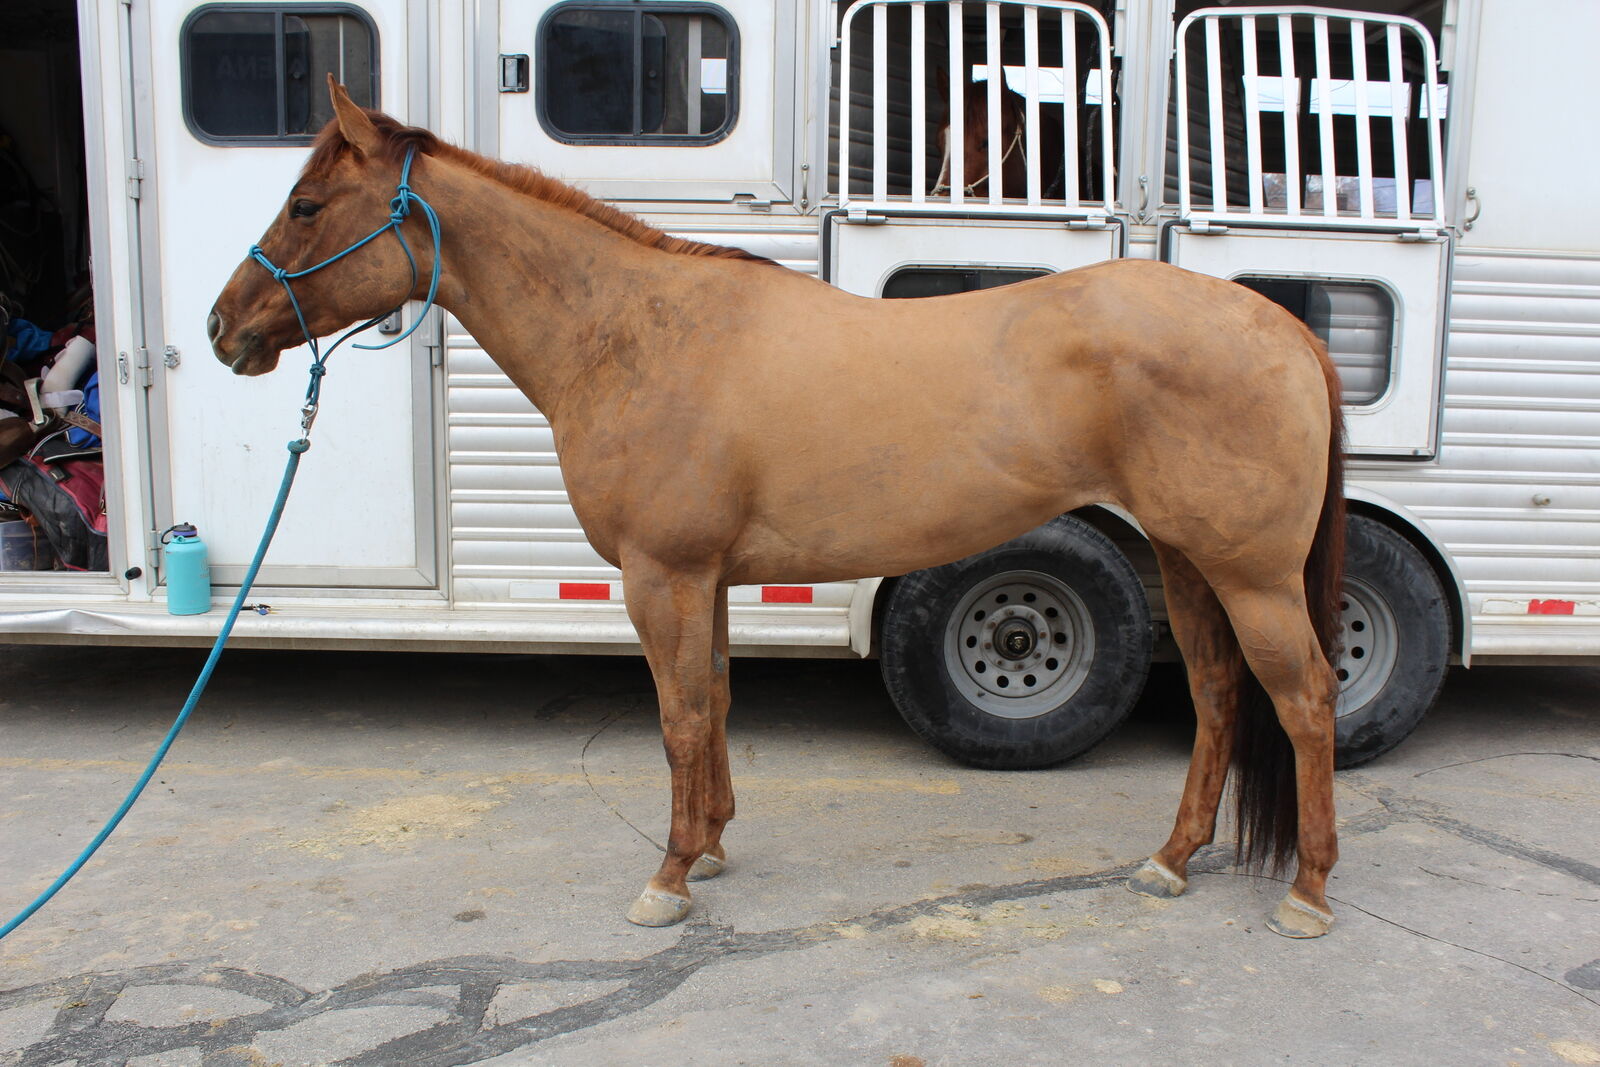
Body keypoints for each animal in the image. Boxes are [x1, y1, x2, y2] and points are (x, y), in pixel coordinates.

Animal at [209, 78, 1346, 938]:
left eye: (306, 205)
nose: (227, 326)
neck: (632, 333)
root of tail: (1283, 329)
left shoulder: (661, 575)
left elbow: (677, 718)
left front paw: (666, 879)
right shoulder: (705, 577)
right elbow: (713, 702)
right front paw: (711, 846)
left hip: (1249, 573)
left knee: (1304, 699)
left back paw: (1307, 891)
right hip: (1190, 560)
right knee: (1217, 695)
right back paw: (1171, 859)